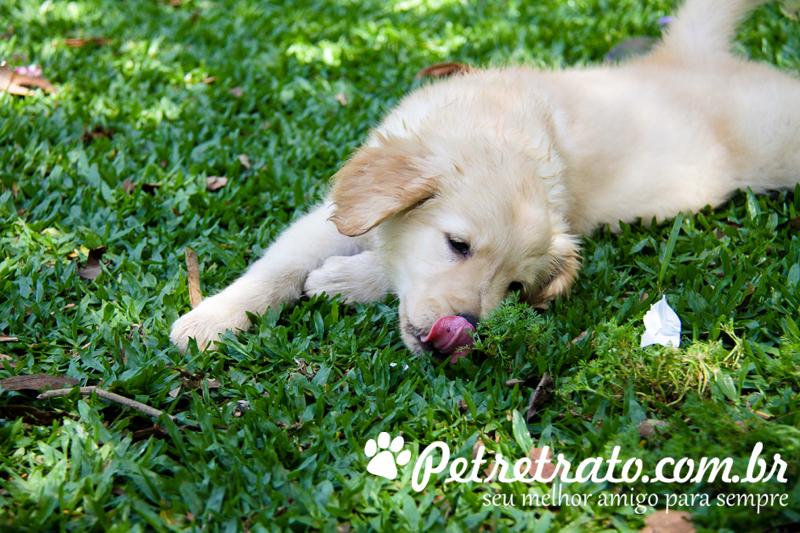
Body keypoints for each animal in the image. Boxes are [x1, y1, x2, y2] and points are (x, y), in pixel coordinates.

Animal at [170, 0, 800, 362]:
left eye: (515, 286)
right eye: (457, 245)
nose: (467, 327)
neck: (492, 126)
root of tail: (689, 59)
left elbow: (376, 269)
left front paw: (342, 280)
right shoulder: (337, 213)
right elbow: (278, 266)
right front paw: (212, 320)